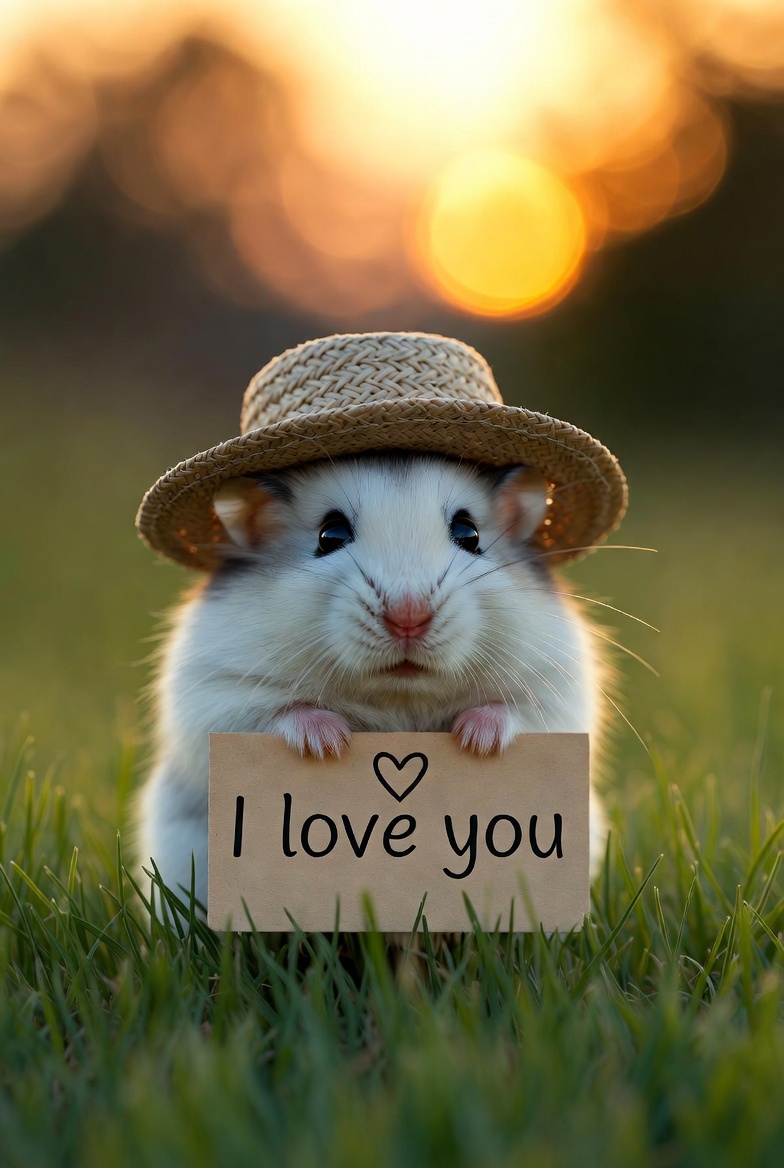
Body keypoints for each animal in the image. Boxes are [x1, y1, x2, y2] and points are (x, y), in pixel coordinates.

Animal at [135, 452, 608, 914]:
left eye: (469, 532)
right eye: (329, 534)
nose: (408, 617)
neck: (400, 695)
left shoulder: (559, 689)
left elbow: (515, 713)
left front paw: (475, 741)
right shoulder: (213, 693)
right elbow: (279, 713)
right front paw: (330, 744)